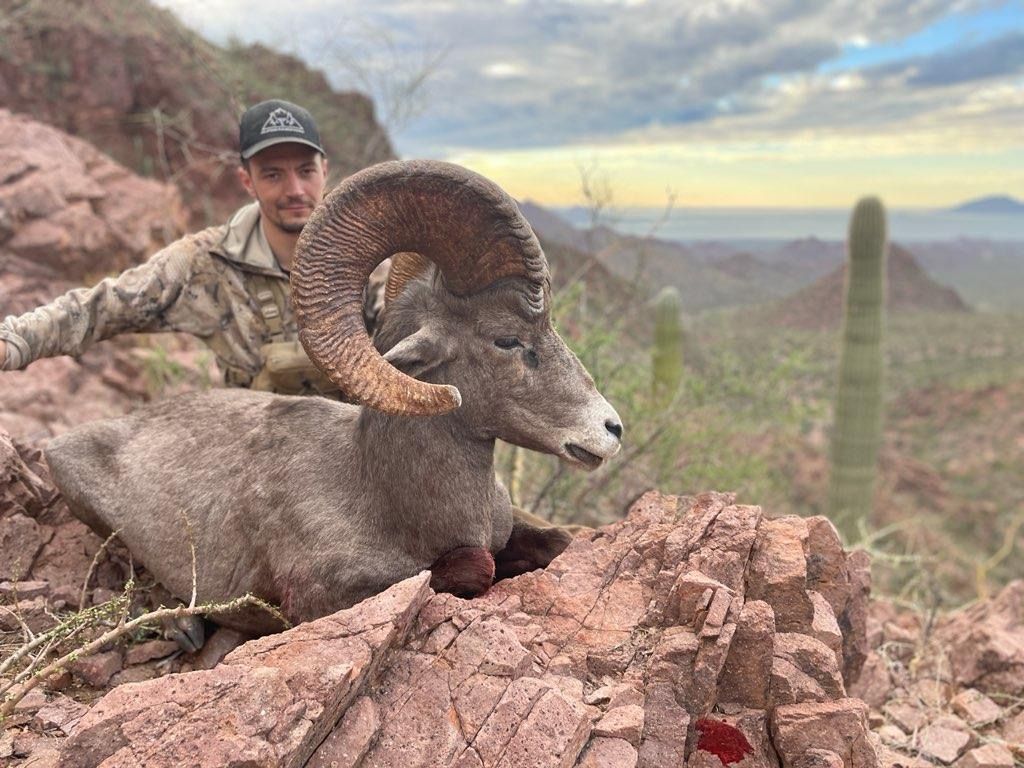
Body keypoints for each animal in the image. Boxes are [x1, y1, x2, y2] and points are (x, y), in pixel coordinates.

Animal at [44, 160, 623, 636]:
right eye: (506, 339)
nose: (611, 430)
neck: (383, 493)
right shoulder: (326, 596)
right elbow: (475, 567)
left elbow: (560, 541)